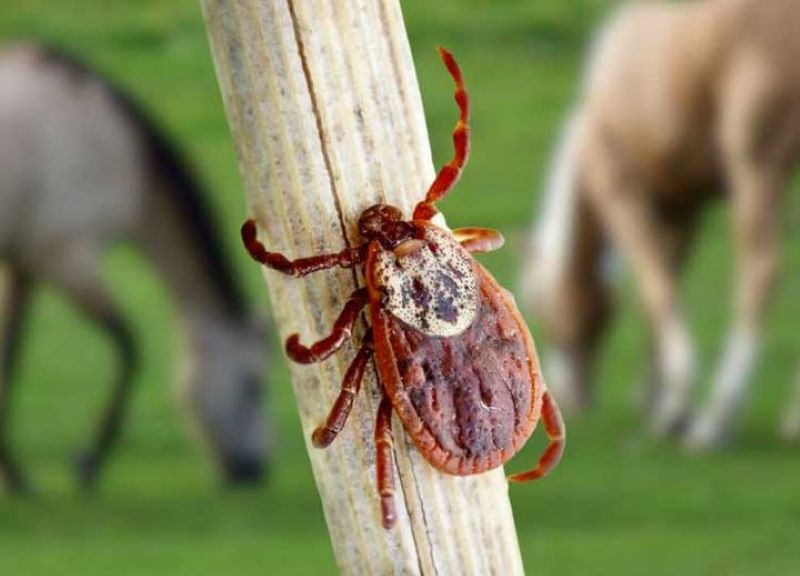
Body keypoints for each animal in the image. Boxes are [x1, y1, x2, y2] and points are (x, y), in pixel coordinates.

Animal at [0, 44, 270, 490]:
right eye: (253, 385)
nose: (254, 471)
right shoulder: (67, 258)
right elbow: (130, 347)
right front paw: (88, 463)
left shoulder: (25, 266)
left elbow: (11, 358)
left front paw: (17, 476)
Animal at [520, 0, 800, 450]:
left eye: (543, 311)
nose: (572, 397)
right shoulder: (681, 207)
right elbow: (664, 285)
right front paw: (656, 401)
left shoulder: (624, 194)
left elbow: (654, 286)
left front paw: (676, 408)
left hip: (757, 163)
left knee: (759, 274)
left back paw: (715, 420)